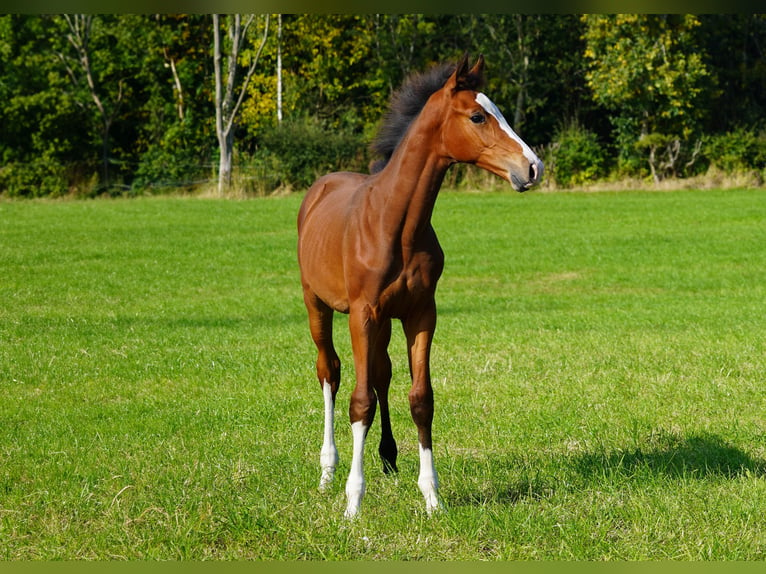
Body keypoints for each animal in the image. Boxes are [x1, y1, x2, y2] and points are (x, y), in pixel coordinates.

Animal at [296, 56, 544, 520]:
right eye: (478, 116)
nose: (533, 167)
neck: (395, 223)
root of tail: (320, 187)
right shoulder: (363, 314)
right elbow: (360, 402)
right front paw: (353, 501)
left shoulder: (420, 314)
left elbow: (420, 398)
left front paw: (432, 496)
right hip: (317, 305)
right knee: (331, 373)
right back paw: (327, 471)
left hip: (384, 322)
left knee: (381, 373)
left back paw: (389, 457)